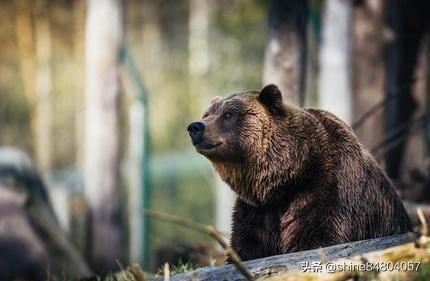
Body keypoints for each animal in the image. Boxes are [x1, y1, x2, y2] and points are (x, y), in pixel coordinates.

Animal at [187, 83, 414, 260]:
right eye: (207, 114)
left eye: (228, 114)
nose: (195, 127)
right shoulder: (256, 211)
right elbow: (247, 246)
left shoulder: (326, 189)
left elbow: (317, 237)